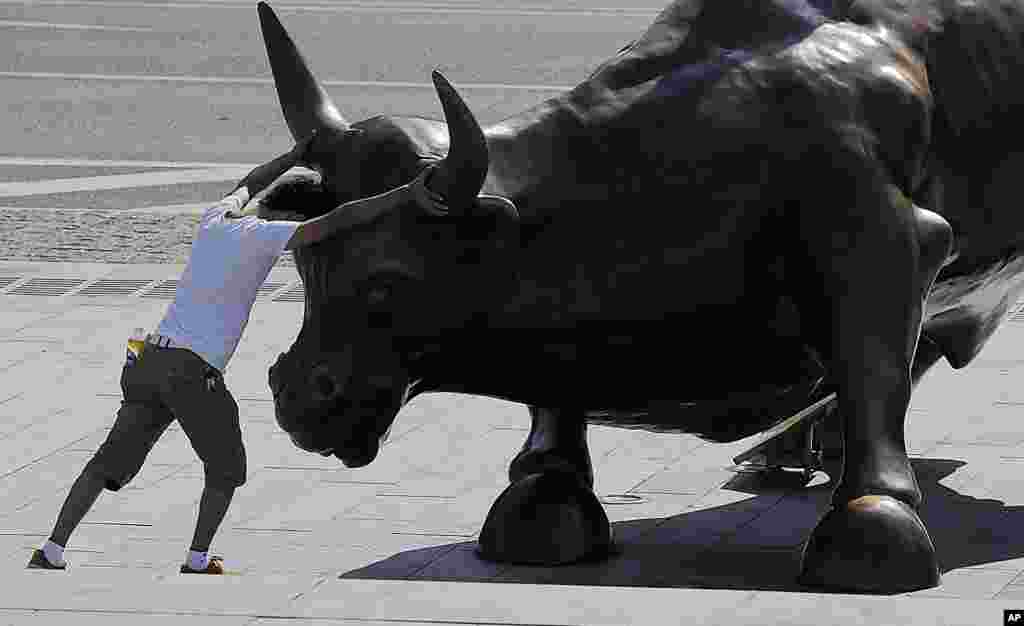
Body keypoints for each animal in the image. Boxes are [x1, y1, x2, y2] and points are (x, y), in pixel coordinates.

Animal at [259, 0, 1024, 592]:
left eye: (386, 283)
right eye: (301, 257)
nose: (296, 393)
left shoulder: (883, 240)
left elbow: (873, 369)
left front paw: (873, 520)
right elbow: (551, 402)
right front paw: (546, 494)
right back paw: (788, 449)